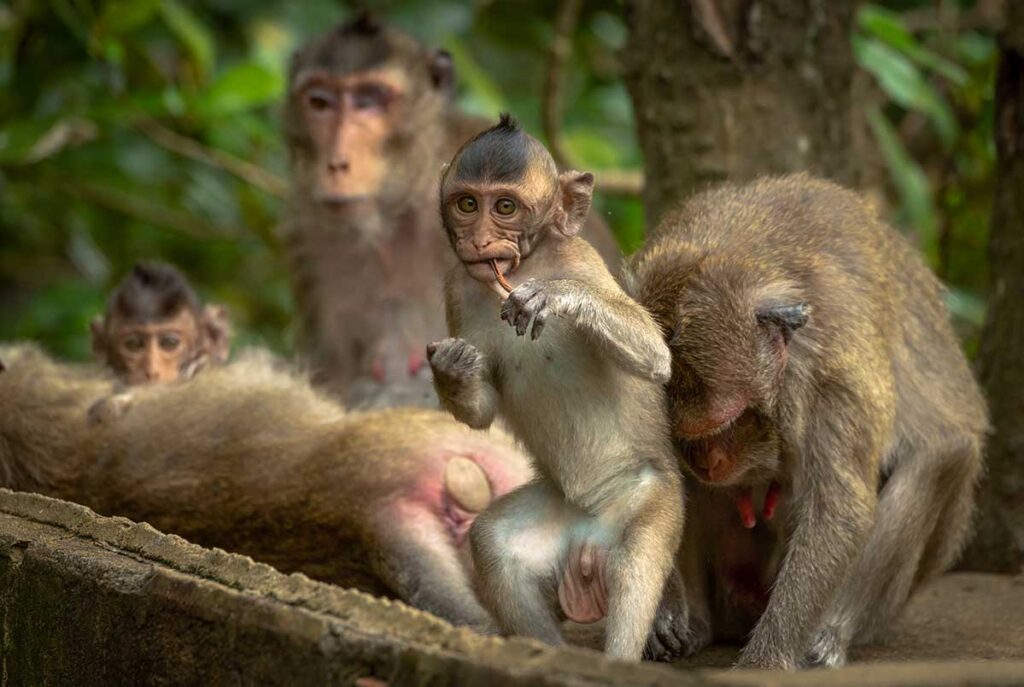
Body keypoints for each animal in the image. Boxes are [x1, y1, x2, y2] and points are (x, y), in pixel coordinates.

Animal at [427, 115, 684, 661]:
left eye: (505, 207)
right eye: (467, 204)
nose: (480, 240)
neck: (524, 266)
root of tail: (589, 538)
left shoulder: (581, 257)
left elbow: (655, 357)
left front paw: (556, 296)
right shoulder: (456, 286)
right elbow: (482, 411)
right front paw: (453, 368)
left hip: (650, 498)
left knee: (635, 566)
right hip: (554, 515)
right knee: (493, 544)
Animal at [625, 174, 987, 669]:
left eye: (728, 423)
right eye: (681, 436)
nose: (708, 462)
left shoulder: (834, 378)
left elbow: (839, 506)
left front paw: (765, 661)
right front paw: (661, 615)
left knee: (938, 456)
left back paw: (829, 637)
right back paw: (695, 623)